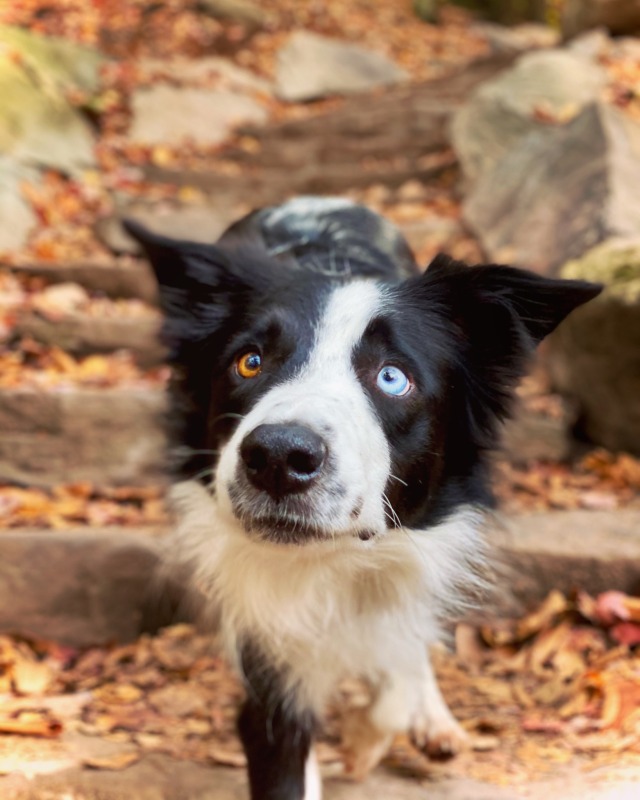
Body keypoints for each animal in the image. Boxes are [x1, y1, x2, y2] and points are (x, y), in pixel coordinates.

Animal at [124, 195, 600, 800]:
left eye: (392, 377)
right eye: (249, 361)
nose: (278, 456)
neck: (337, 561)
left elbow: (399, 656)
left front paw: (369, 735)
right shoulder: (269, 656)